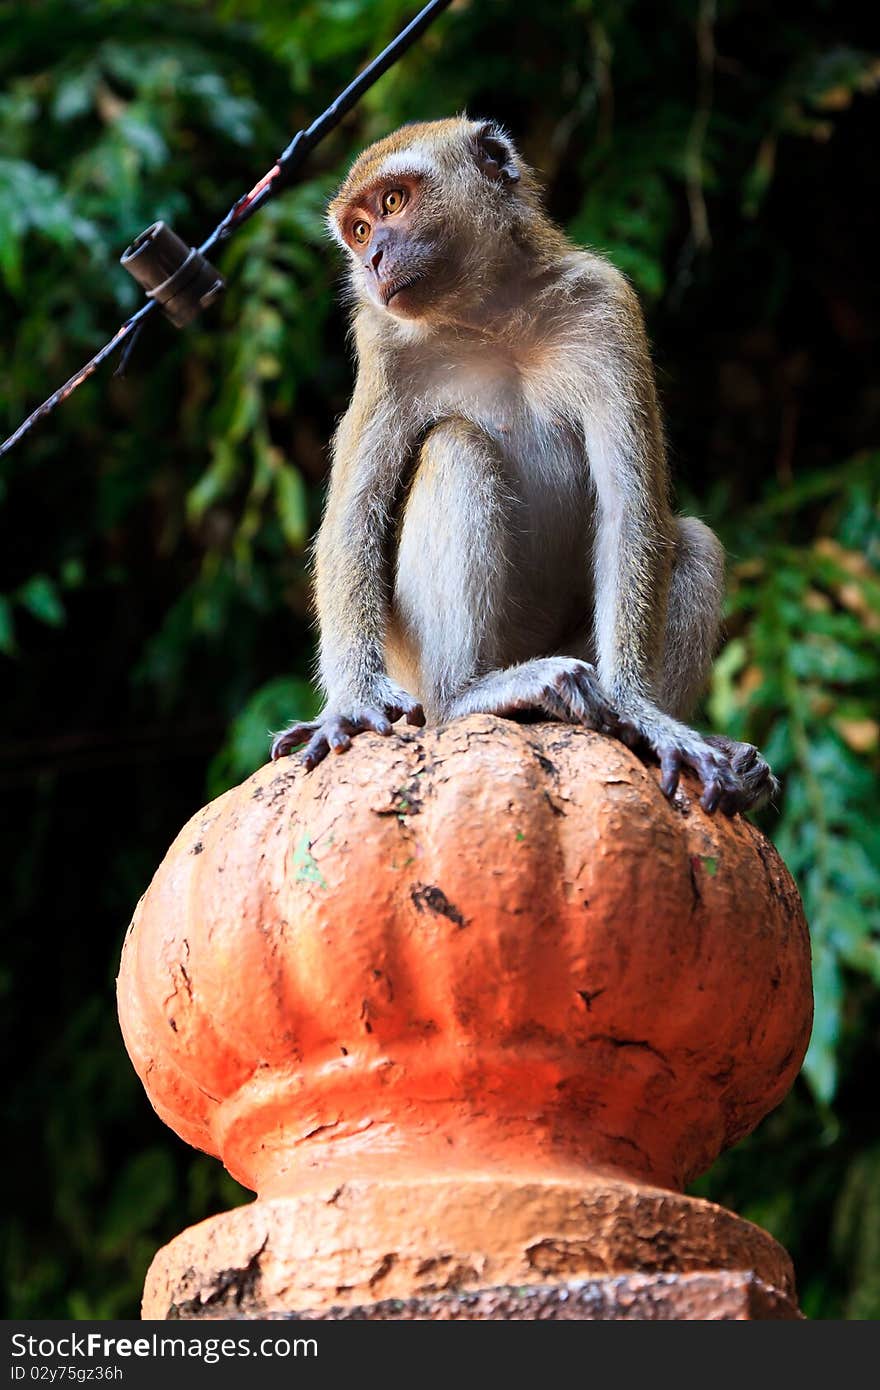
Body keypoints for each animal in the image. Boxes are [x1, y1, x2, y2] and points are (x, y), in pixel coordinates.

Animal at [271, 122, 772, 811]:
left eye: (393, 203)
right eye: (360, 230)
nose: (371, 261)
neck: (488, 313)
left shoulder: (604, 303)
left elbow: (631, 513)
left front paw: (641, 713)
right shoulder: (383, 347)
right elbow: (353, 522)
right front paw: (351, 704)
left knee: (692, 541)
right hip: (419, 668)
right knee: (457, 448)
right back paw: (470, 696)